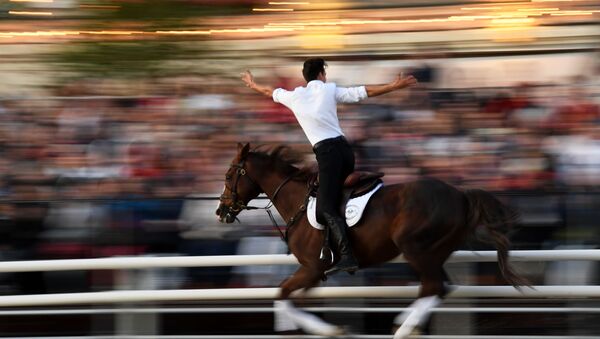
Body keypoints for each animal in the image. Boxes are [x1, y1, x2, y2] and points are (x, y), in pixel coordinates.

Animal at [216, 144, 524, 339]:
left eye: (229, 175)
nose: (221, 211)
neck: (299, 202)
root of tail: (460, 194)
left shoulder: (312, 268)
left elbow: (282, 295)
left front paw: (330, 331)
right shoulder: (315, 273)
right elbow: (291, 298)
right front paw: (328, 330)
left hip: (416, 248)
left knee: (433, 286)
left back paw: (403, 331)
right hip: (434, 251)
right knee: (439, 287)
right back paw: (405, 325)